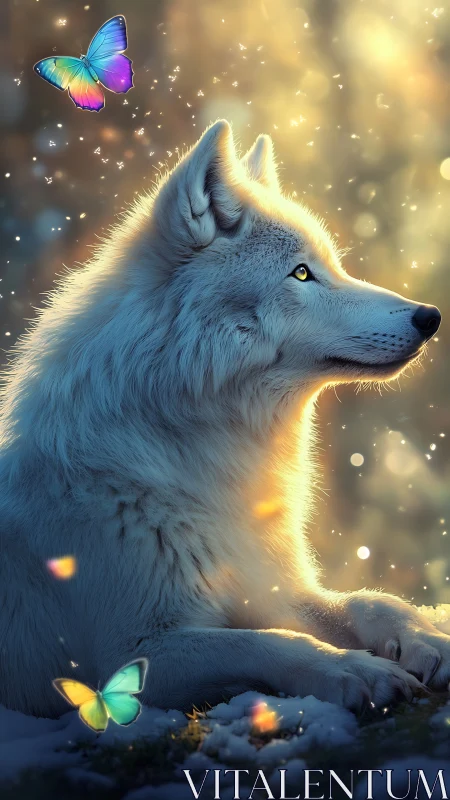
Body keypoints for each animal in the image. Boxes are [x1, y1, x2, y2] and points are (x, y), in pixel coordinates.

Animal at [0, 119, 447, 718]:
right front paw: (356, 671)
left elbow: (366, 601)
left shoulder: (269, 586)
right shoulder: (137, 653)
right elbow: (270, 643)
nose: (430, 316)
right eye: (300, 273)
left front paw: (427, 638)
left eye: (330, 266)